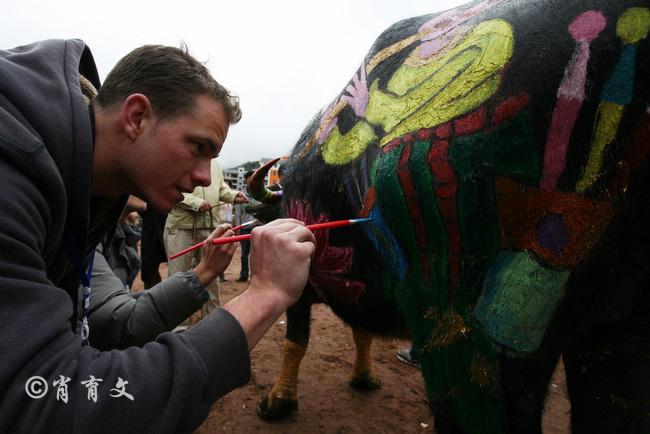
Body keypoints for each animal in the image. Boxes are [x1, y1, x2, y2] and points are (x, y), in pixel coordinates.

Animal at [251, 1, 644, 432]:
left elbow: (297, 340)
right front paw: (363, 377)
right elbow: (360, 333)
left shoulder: (306, 285)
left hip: (475, 333)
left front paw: (278, 401)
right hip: (615, 336)